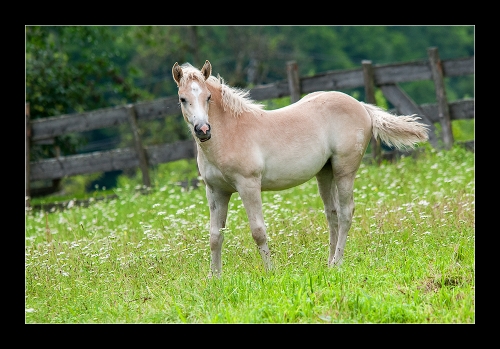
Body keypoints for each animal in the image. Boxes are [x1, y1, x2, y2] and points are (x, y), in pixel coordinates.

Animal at [172, 60, 430, 278]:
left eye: (208, 97)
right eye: (183, 99)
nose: (203, 130)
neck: (231, 133)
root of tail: (362, 107)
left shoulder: (248, 185)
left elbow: (258, 231)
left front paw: (270, 273)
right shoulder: (216, 192)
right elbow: (215, 236)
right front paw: (214, 278)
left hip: (344, 170)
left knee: (346, 213)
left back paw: (337, 263)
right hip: (325, 173)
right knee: (332, 215)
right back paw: (329, 263)